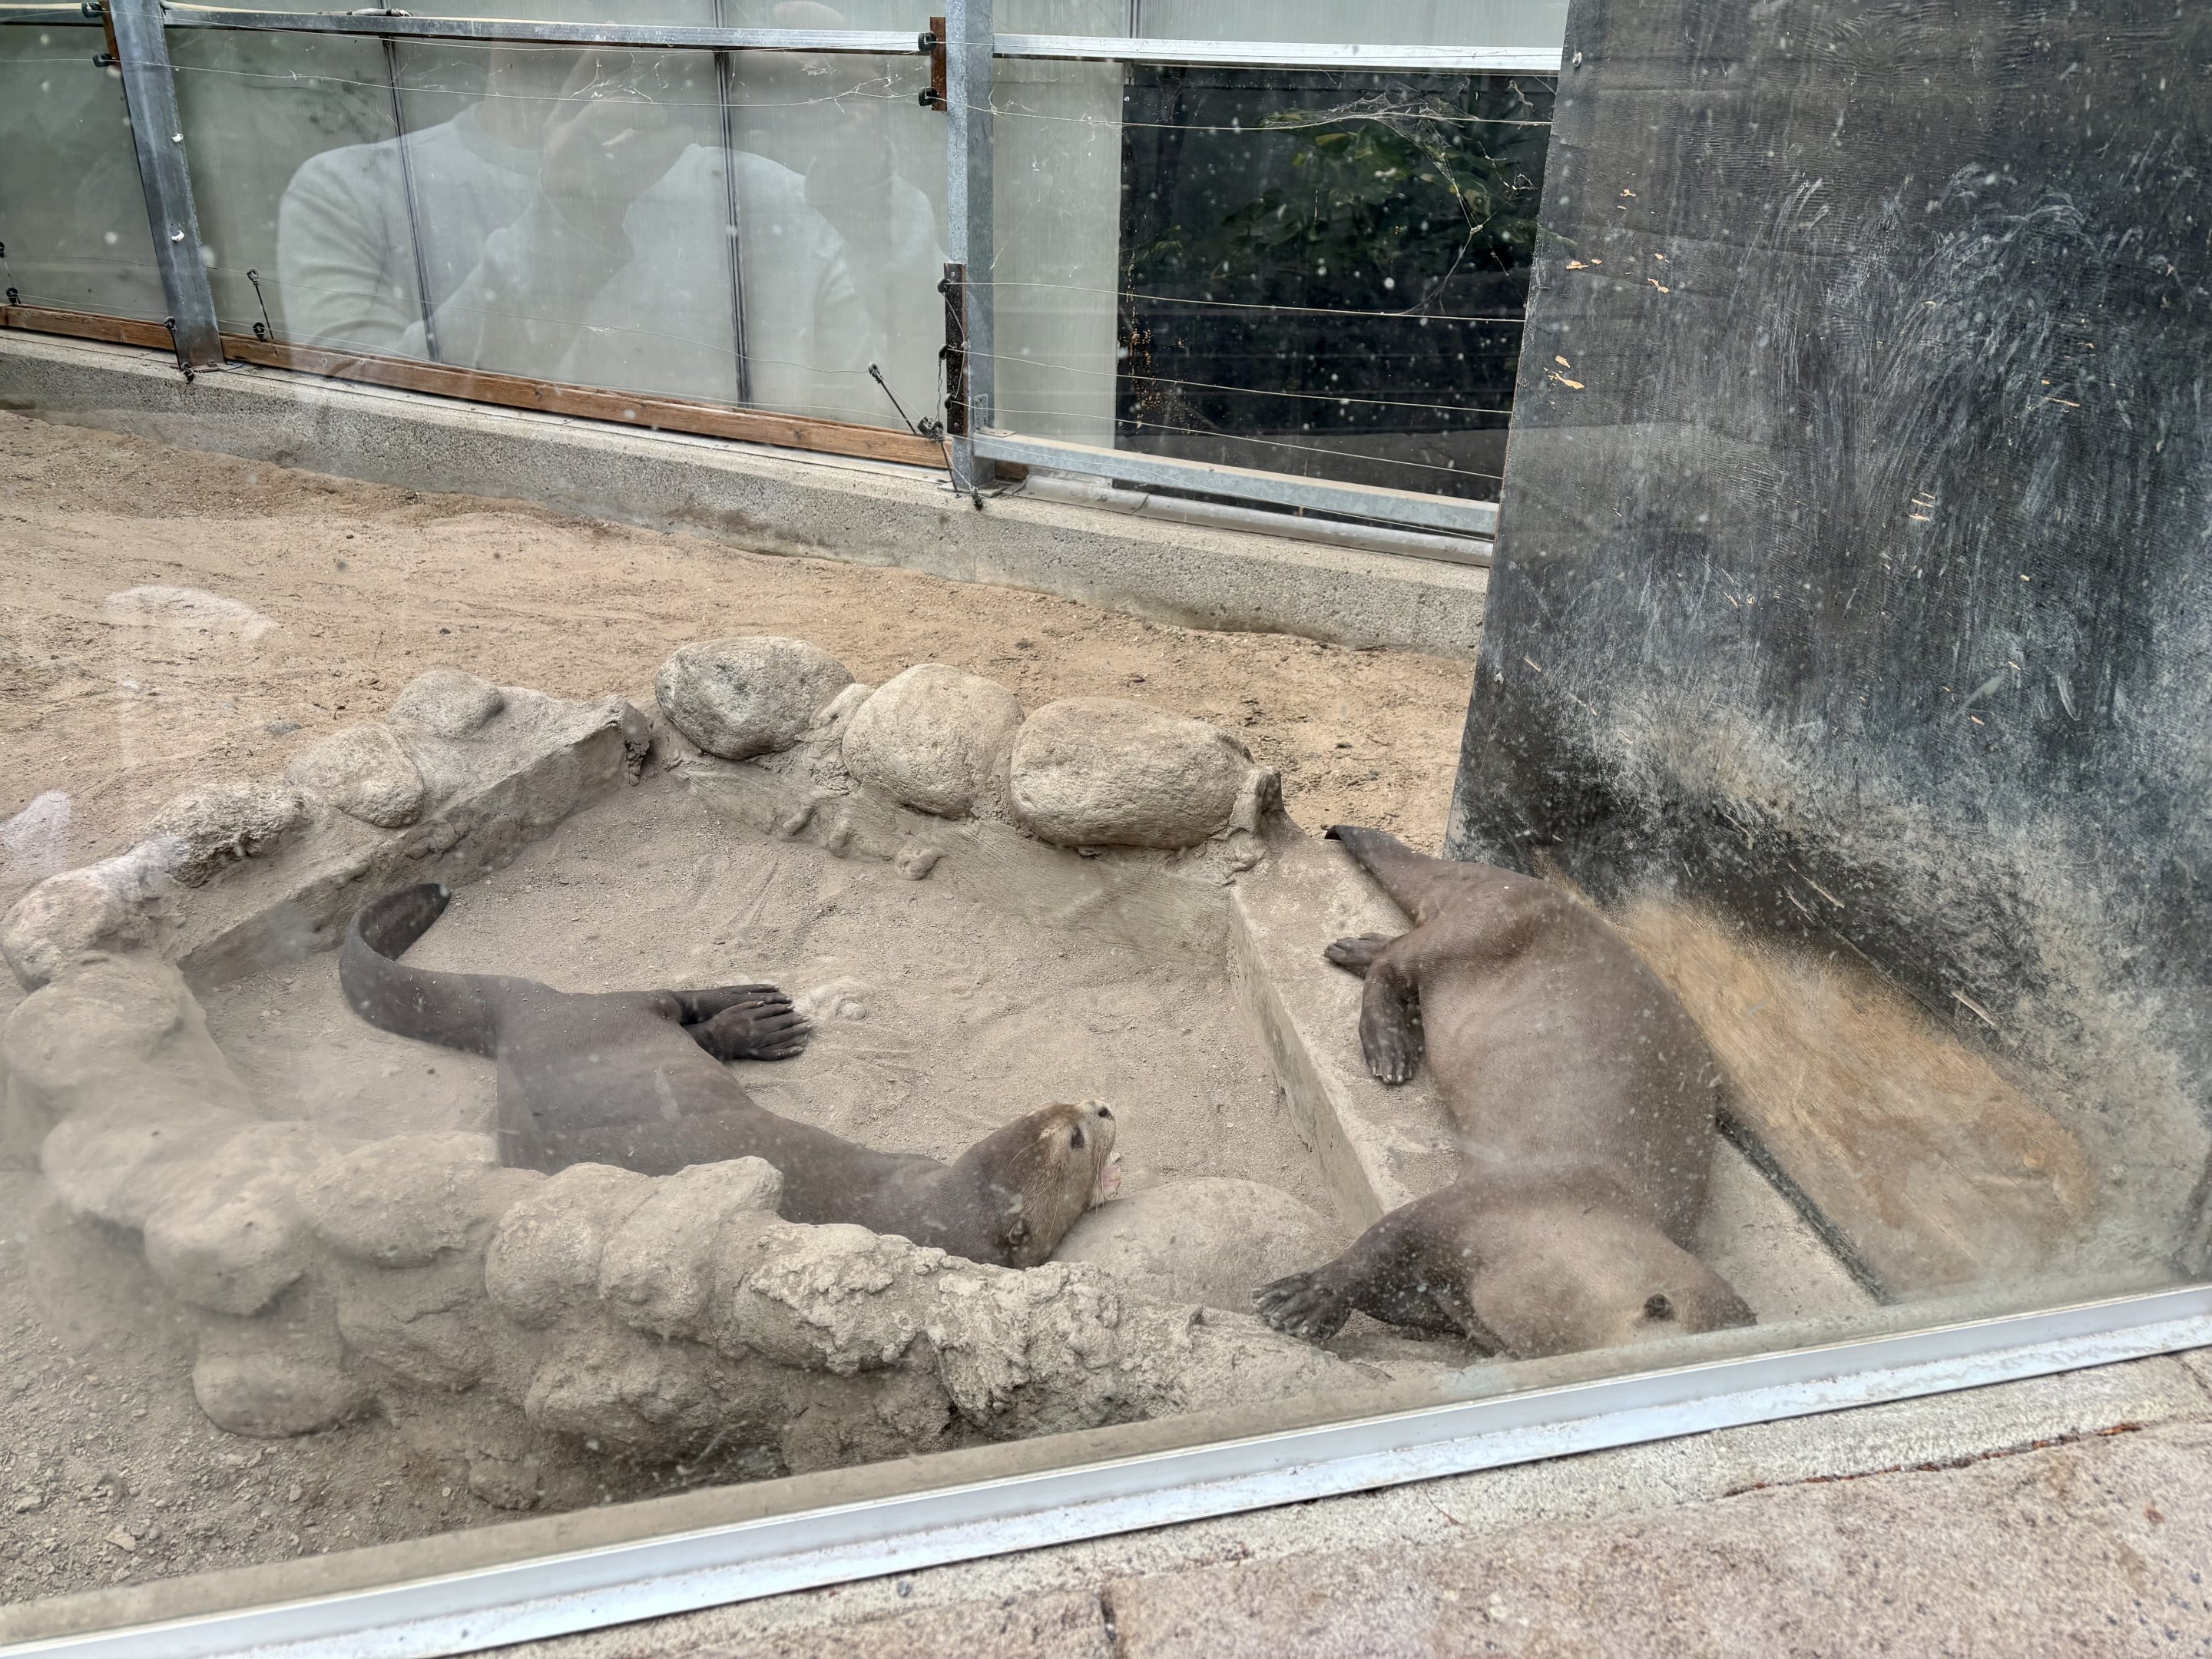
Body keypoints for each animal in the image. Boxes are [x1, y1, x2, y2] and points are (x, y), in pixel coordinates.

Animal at [340, 883, 1119, 1268]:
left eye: (1058, 1106)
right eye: (1075, 1139)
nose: (1104, 1105)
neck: (920, 1207)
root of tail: (526, 1014)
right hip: (613, 1014)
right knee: (669, 997)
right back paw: (756, 1015)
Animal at [1255, 827, 1754, 1357]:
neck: (1554, 1238)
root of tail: (1508, 880)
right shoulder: (1480, 1201)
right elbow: (1376, 1247)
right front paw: (1305, 1298)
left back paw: (1354, 947)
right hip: (1477, 931)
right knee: (1396, 964)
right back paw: (1389, 1048)